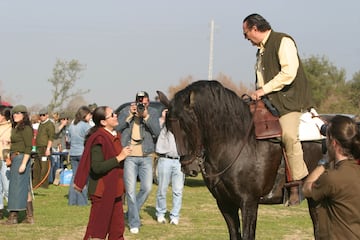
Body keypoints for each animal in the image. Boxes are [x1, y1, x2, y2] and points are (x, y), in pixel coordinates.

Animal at [158, 80, 324, 240]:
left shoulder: (248, 203)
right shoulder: (225, 203)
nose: (188, 167)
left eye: (189, 126)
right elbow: (234, 234)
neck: (236, 141)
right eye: (170, 130)